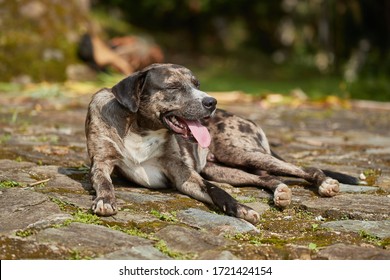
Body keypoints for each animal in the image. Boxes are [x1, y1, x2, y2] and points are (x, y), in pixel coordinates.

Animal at [87, 62, 362, 224]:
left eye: (197, 84)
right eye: (173, 87)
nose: (211, 102)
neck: (141, 128)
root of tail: (246, 118)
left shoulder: (185, 175)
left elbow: (216, 191)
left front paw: (240, 209)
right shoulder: (100, 163)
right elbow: (104, 182)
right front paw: (105, 200)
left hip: (241, 153)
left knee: (304, 168)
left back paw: (324, 183)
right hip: (223, 169)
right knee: (266, 178)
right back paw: (280, 192)